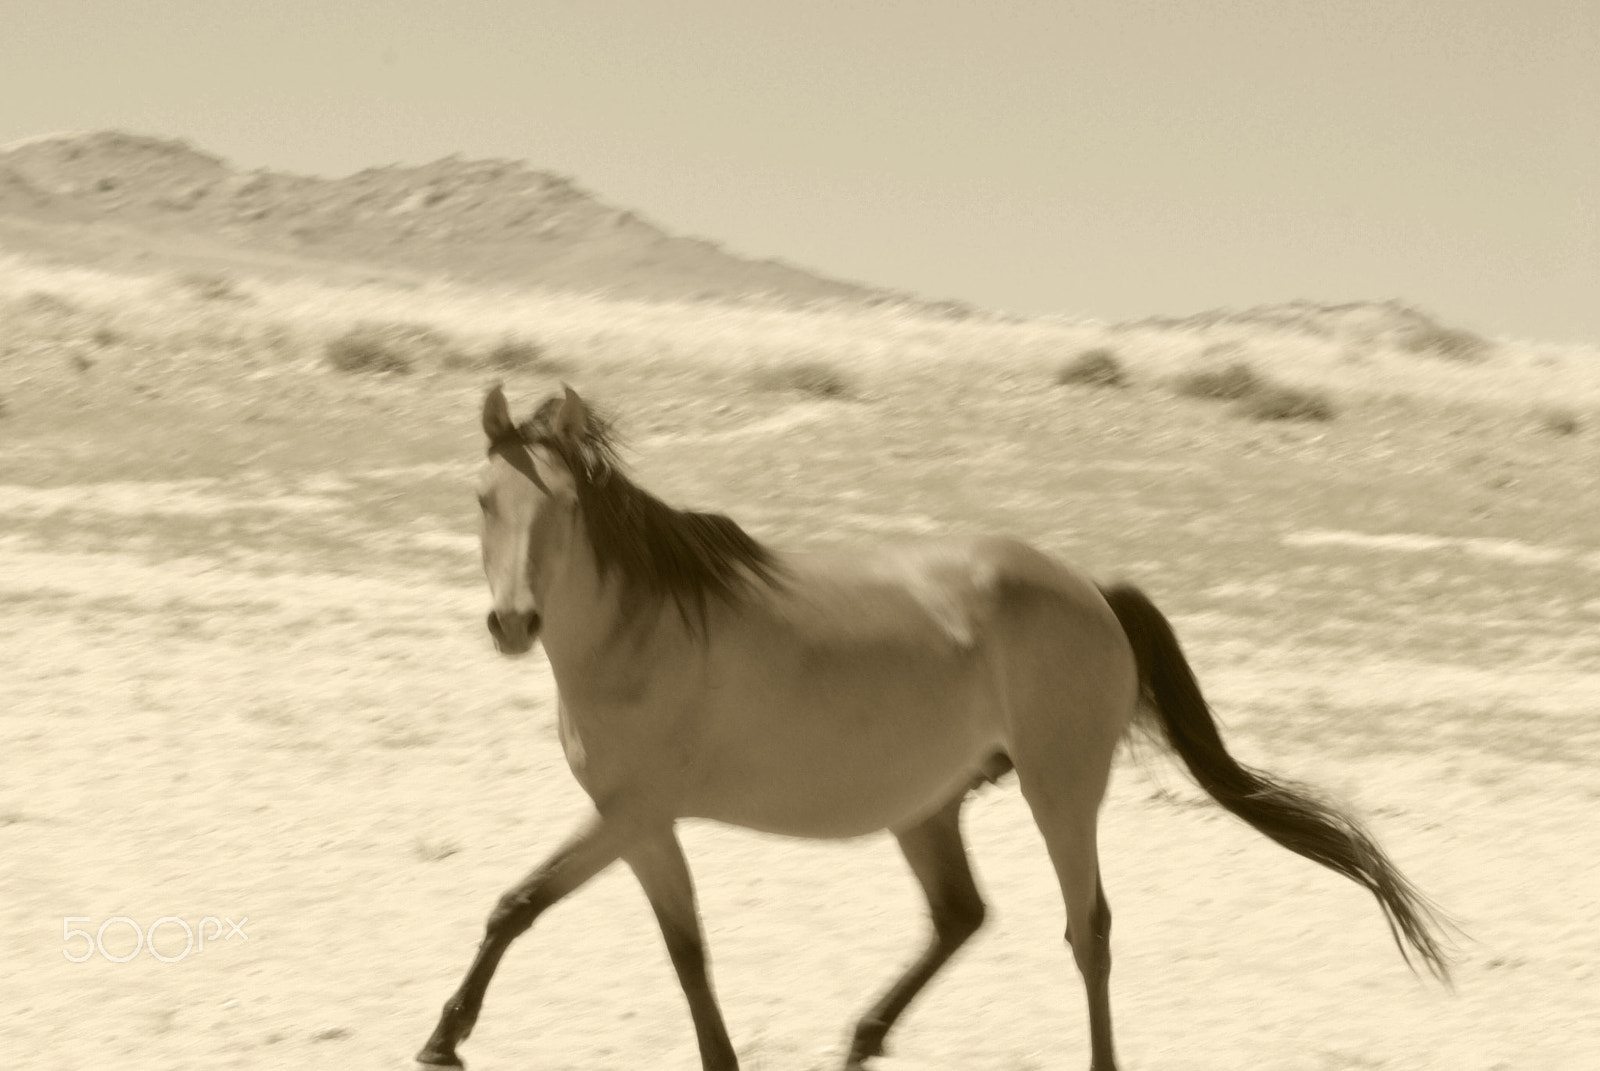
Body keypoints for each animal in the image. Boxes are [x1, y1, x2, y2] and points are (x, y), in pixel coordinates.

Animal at [412, 384, 1452, 1069]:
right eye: (482, 497)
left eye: (562, 505)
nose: (513, 623)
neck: (645, 631)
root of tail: (1091, 589)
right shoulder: (643, 825)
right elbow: (662, 943)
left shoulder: (632, 814)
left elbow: (533, 907)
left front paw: (442, 1038)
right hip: (928, 806)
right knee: (961, 914)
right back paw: (861, 1038)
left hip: (1059, 789)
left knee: (1088, 928)